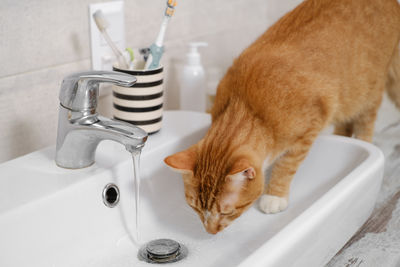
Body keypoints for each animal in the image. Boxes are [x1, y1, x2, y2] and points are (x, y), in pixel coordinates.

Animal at [165, 0, 400, 234]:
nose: (210, 231)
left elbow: (286, 165)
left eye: (226, 212)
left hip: (366, 93)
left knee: (365, 123)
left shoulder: (309, 128)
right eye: (195, 208)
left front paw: (274, 196)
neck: (247, 105)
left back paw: (363, 140)